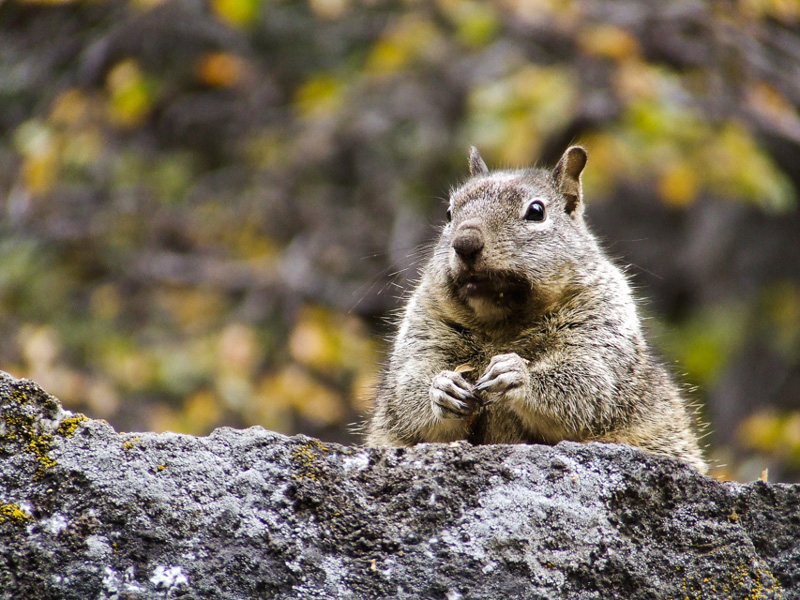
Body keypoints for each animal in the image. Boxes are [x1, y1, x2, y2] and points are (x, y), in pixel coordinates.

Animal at [364, 145, 708, 474]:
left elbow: (587, 385)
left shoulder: (600, 326)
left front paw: (517, 375)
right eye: (448, 213)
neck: (500, 322)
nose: (465, 242)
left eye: (536, 211)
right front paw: (442, 389)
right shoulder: (424, 329)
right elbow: (408, 397)